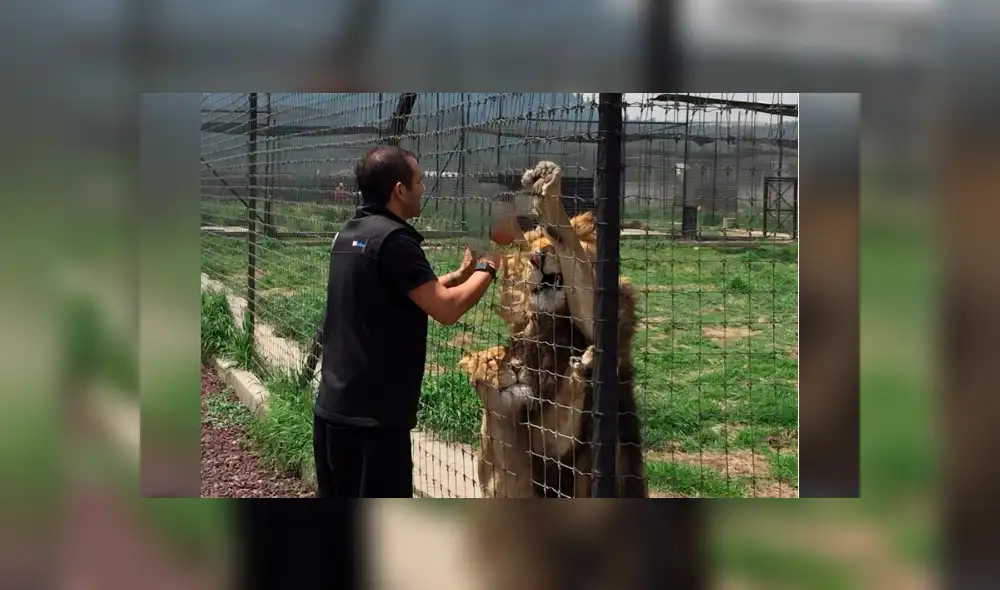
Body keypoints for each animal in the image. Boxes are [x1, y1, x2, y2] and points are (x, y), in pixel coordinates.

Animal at [459, 161, 647, 498]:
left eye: (545, 241)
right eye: (524, 254)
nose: (538, 256)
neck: (553, 323)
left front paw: (549, 198)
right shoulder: (534, 433)